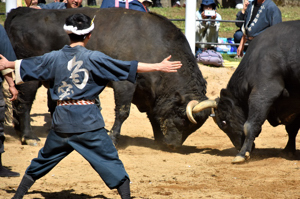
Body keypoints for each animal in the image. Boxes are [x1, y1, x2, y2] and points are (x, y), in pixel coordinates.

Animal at [4, 7, 211, 148]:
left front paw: (158, 138)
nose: (172, 146)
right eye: (183, 118)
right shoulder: (125, 84)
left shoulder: (148, 92)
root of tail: (22, 12)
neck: (155, 45)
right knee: (24, 103)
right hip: (30, 78)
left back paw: (18, 130)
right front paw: (113, 138)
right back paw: (29, 137)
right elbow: (123, 111)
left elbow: (153, 114)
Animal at [189, 20, 300, 163]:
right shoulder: (295, 102)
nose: (238, 146)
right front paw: (289, 151)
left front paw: (242, 154)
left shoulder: (263, 93)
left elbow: (250, 125)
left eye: (223, 122)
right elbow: (292, 128)